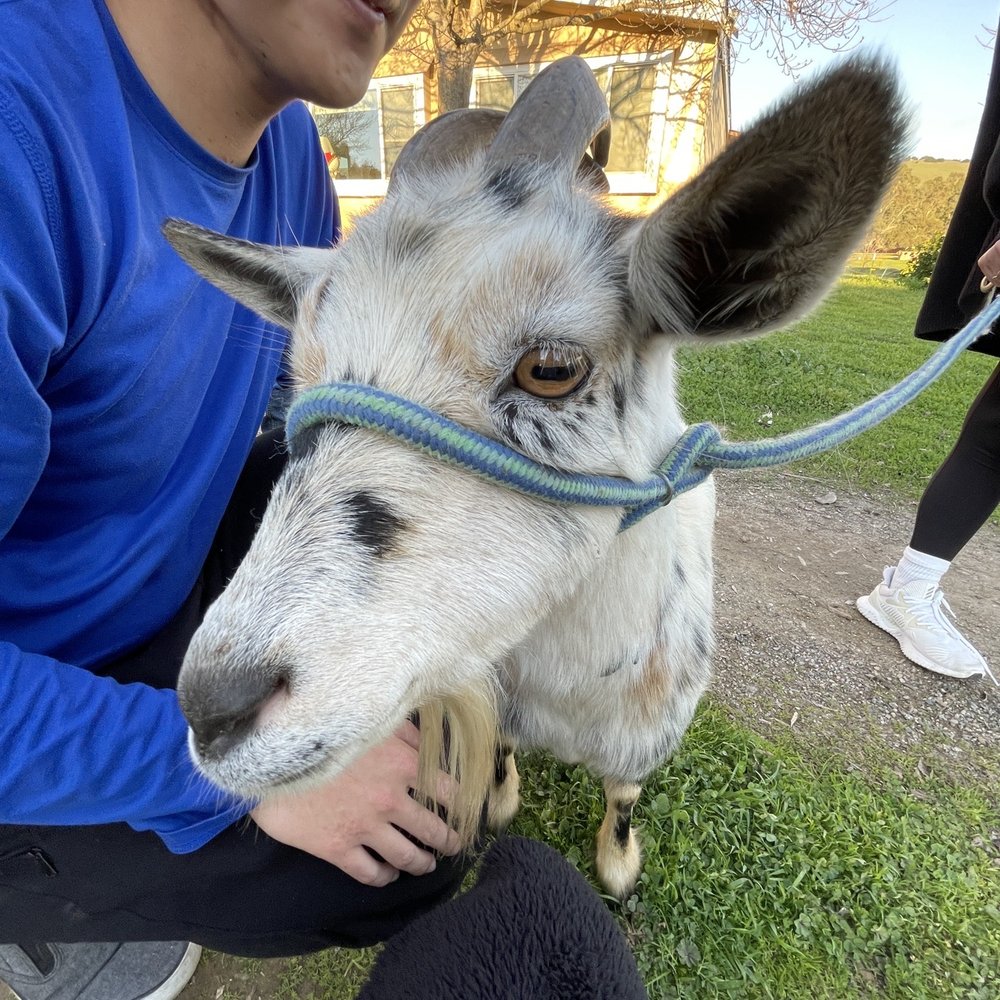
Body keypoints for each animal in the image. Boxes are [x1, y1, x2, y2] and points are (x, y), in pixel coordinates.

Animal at [168, 56, 908, 897]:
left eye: (551, 367)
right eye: (298, 372)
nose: (214, 708)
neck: (571, 696)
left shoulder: (643, 741)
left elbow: (622, 797)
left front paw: (617, 866)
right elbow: (502, 758)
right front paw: (500, 804)